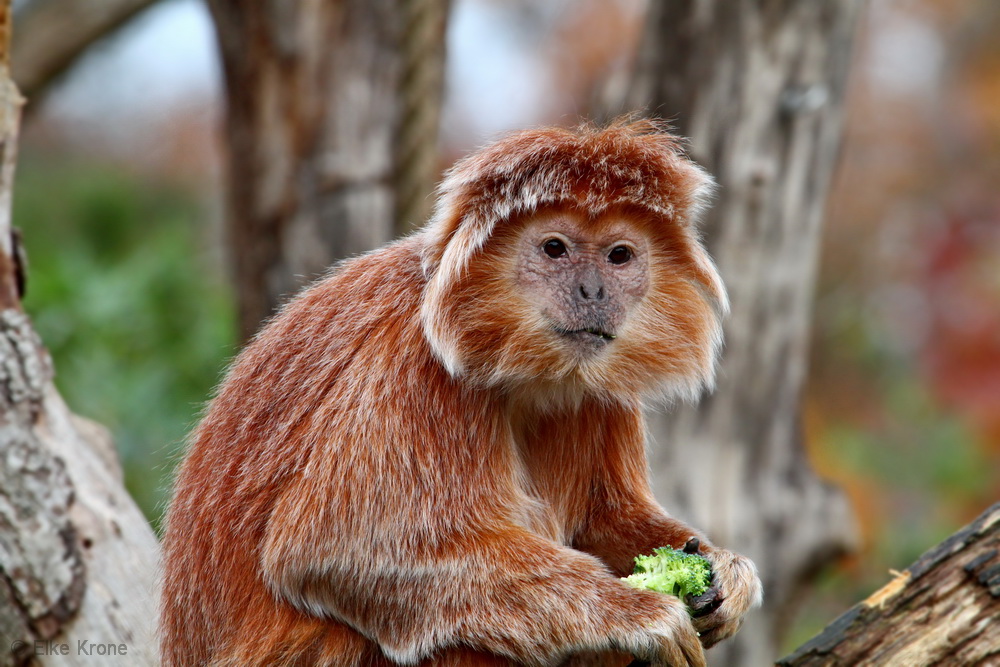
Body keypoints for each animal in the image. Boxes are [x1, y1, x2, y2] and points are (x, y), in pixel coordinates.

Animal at [160, 121, 760, 667]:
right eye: (555, 249)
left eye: (619, 256)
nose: (592, 291)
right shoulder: (416, 366)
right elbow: (337, 552)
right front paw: (637, 614)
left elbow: (602, 525)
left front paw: (725, 572)